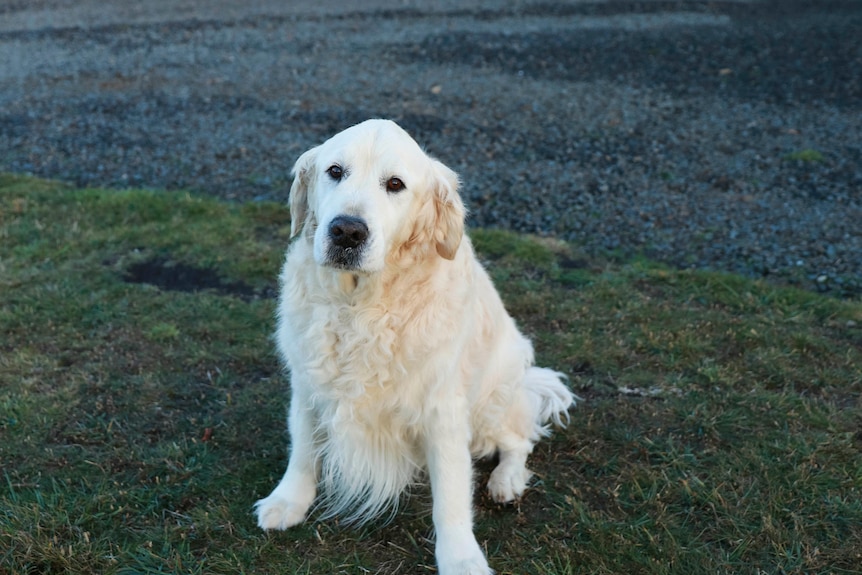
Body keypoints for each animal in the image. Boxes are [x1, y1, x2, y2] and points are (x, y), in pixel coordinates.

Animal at [256, 119, 580, 572]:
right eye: (335, 171)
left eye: (395, 184)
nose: (346, 231)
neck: (360, 306)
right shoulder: (307, 386)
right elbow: (303, 450)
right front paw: (289, 501)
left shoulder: (443, 410)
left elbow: (451, 496)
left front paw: (461, 557)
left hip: (491, 403)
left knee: (521, 439)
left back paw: (506, 481)